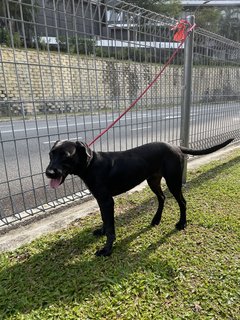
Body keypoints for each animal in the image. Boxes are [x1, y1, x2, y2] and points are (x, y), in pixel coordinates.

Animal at [45, 139, 232, 256]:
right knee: (162, 198)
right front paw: (102, 232)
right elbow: (105, 220)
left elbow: (111, 228)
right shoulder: (101, 201)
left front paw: (107, 250)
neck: (91, 164)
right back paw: (156, 219)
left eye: (66, 155)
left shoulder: (107, 201)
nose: (48, 173)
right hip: (153, 181)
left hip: (173, 181)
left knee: (182, 202)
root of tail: (176, 147)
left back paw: (182, 223)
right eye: (51, 154)